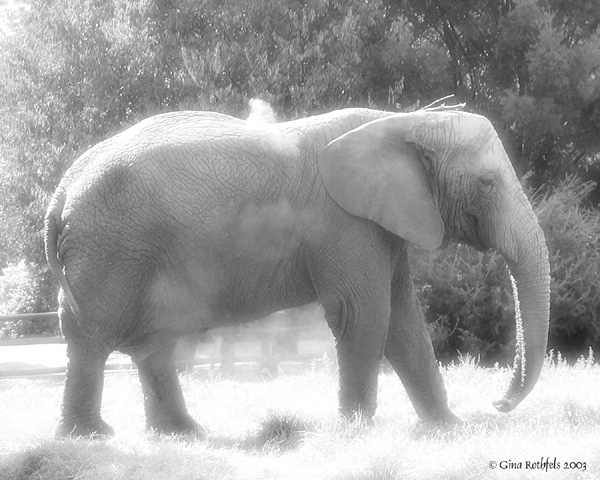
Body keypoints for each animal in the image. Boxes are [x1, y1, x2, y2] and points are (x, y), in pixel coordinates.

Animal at [44, 103, 552, 436]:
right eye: (487, 183)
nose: (498, 403)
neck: (406, 120)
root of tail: (63, 189)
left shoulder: (377, 225)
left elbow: (405, 320)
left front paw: (449, 429)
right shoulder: (345, 224)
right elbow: (366, 315)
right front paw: (356, 433)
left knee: (154, 342)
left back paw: (182, 434)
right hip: (110, 250)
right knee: (92, 336)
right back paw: (92, 437)